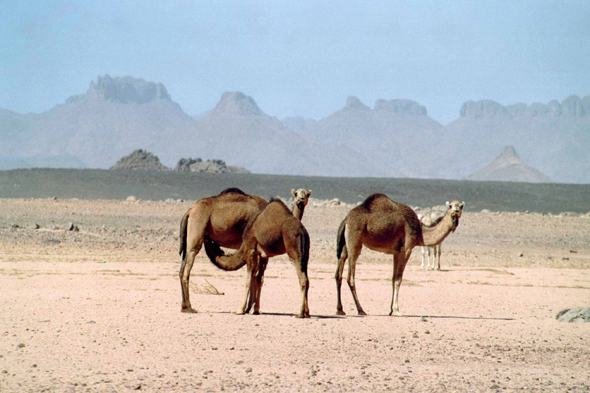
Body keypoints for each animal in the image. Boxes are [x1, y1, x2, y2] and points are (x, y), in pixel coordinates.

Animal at [336, 193, 464, 316]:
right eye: (450, 205)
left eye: (461, 206)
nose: (456, 210)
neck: (420, 231)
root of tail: (346, 220)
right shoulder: (406, 249)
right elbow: (398, 279)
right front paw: (396, 310)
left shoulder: (396, 252)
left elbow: (393, 278)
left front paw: (390, 310)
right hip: (355, 238)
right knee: (350, 277)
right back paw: (361, 310)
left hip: (345, 244)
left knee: (339, 272)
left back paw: (340, 310)